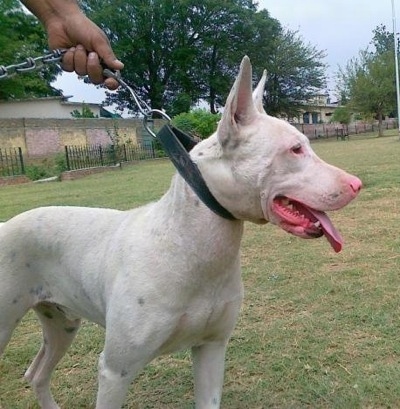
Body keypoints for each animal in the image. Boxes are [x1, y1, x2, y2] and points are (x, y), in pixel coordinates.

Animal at [0, 58, 360, 408]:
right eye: (295, 149)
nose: (356, 184)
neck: (191, 248)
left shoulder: (212, 349)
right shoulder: (116, 370)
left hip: (62, 323)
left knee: (37, 373)